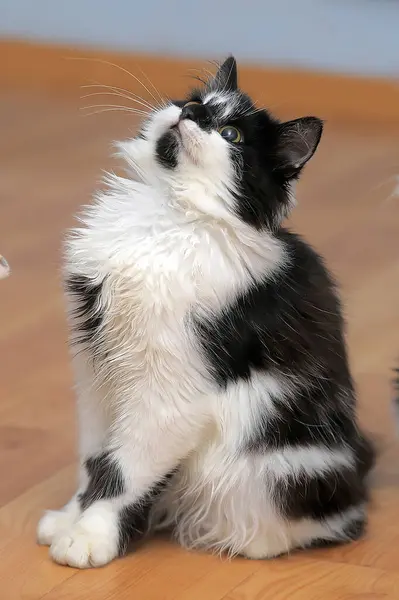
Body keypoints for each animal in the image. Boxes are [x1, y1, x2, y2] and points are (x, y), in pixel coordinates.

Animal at [36, 56, 376, 568]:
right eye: (195, 103)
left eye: (231, 134)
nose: (191, 115)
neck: (166, 215)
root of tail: (356, 470)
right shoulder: (96, 378)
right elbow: (93, 460)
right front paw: (70, 518)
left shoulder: (171, 393)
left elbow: (120, 472)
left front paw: (90, 536)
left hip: (276, 471)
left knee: (322, 526)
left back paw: (241, 539)